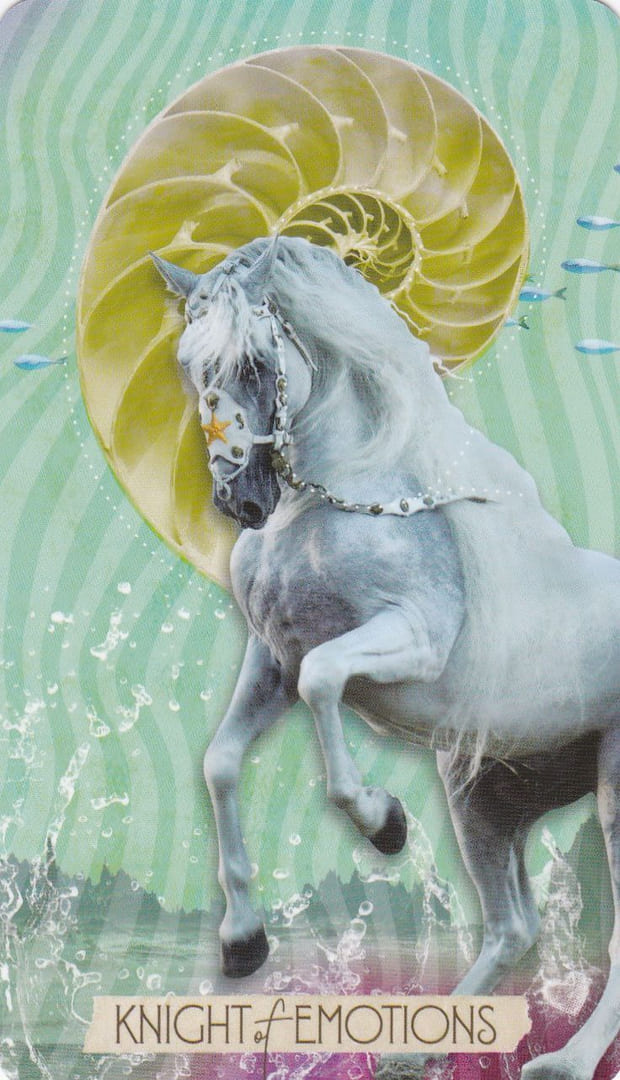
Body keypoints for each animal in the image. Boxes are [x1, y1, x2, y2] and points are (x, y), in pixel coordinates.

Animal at [152, 235, 620, 1080]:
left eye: (256, 364)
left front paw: (383, 823)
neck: (335, 501)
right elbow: (222, 763)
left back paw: (566, 1062)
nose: (241, 502)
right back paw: (420, 1046)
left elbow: (326, 686)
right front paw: (242, 941)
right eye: (189, 362)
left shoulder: (410, 639)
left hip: (612, 792)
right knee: (514, 926)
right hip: (482, 800)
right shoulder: (271, 659)